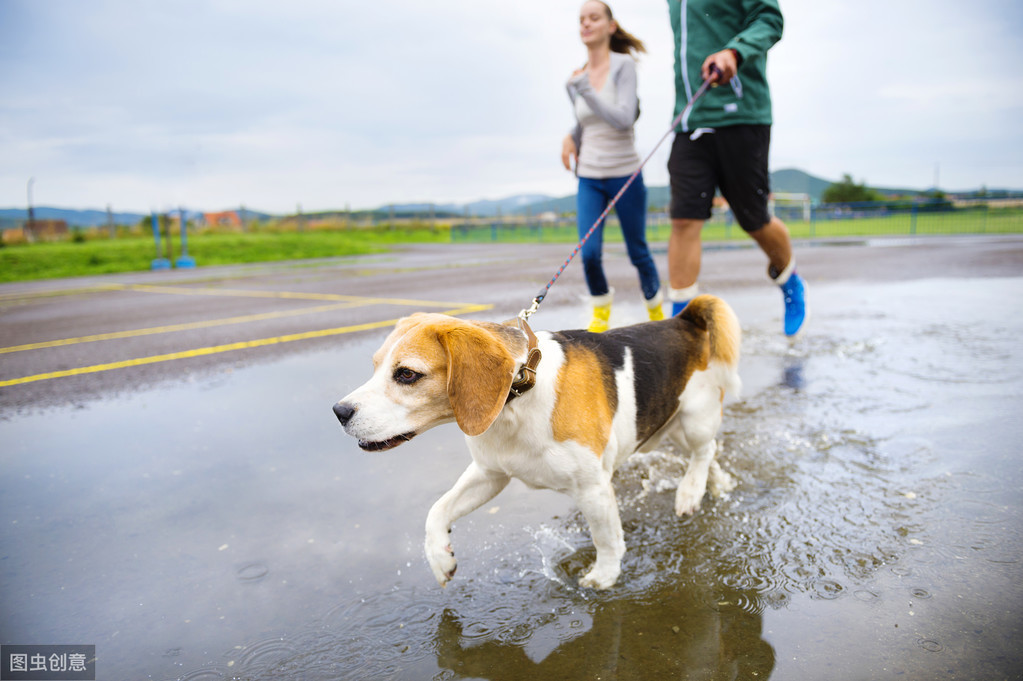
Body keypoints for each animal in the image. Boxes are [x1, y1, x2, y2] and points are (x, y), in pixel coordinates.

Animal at [335, 294, 744, 584]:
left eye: (406, 374)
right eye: (375, 366)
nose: (339, 411)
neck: (519, 393)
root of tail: (683, 319)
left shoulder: (593, 488)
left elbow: (606, 538)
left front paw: (604, 577)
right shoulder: (490, 474)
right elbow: (437, 511)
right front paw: (440, 558)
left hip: (694, 419)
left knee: (704, 450)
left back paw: (690, 491)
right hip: (668, 426)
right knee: (708, 453)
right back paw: (714, 484)